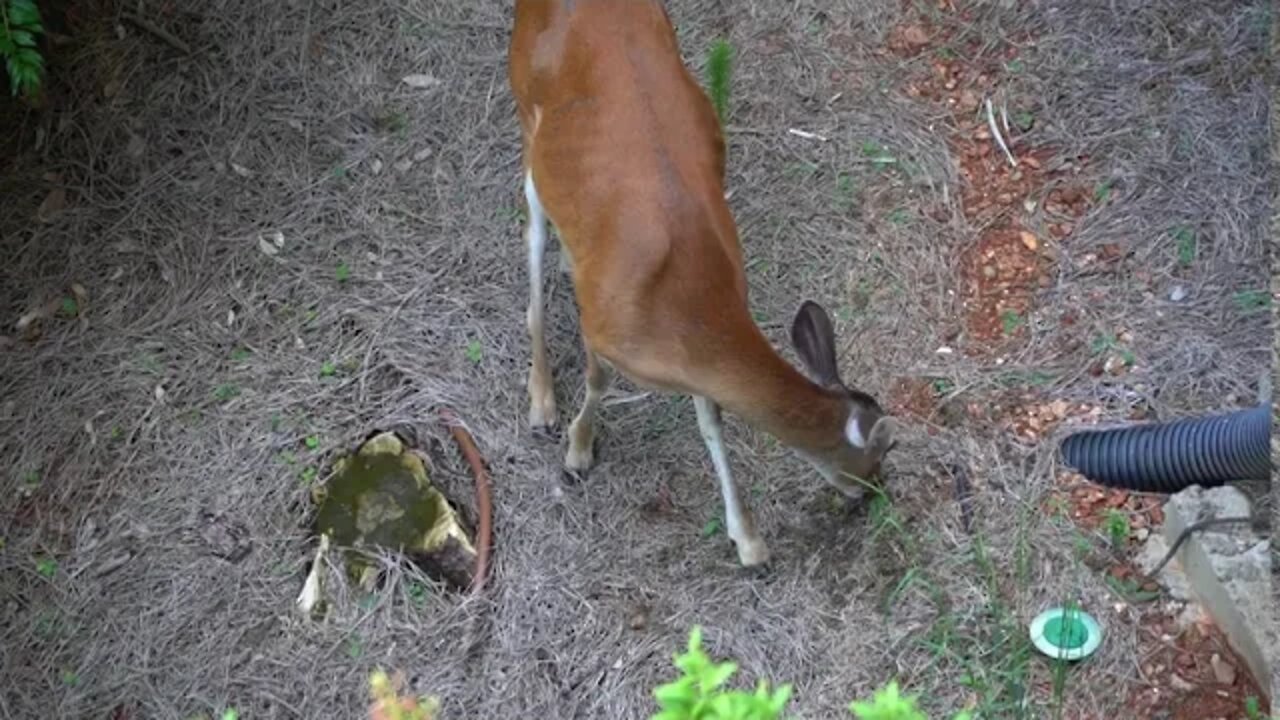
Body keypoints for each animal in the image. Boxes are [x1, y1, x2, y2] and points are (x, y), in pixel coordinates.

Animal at [507, 0, 899, 567]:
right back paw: (541, 400)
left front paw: (750, 541)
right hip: (526, 111)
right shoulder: (602, 322)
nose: (875, 494)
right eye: (881, 453)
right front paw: (578, 452)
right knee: (532, 233)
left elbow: (712, 420)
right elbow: (598, 381)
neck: (689, 301)